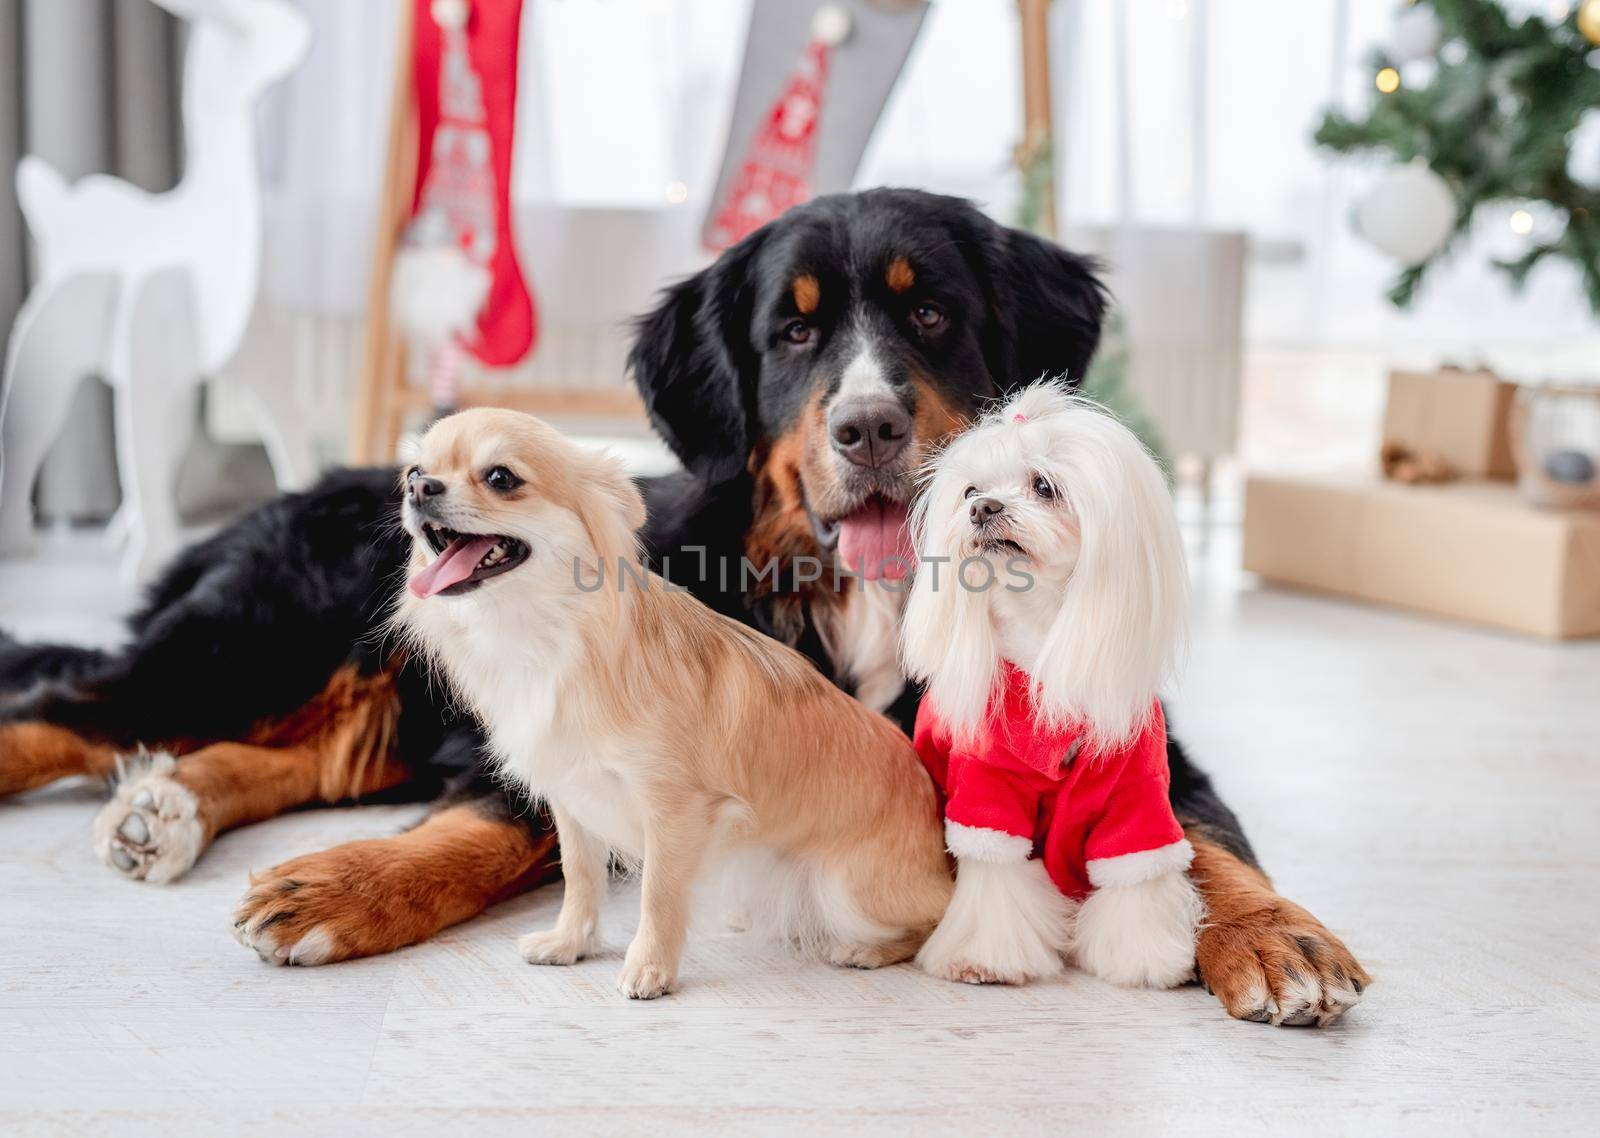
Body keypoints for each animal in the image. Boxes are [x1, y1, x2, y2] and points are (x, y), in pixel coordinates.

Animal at [0, 191, 1363, 1030]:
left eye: (929, 313)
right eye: (793, 333)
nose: (867, 428)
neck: (854, 604)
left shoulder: (1133, 738)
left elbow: (1204, 847)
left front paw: (1277, 937)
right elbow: (485, 826)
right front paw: (349, 889)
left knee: (278, 752)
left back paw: (166, 809)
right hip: (251, 639)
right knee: (72, 702)